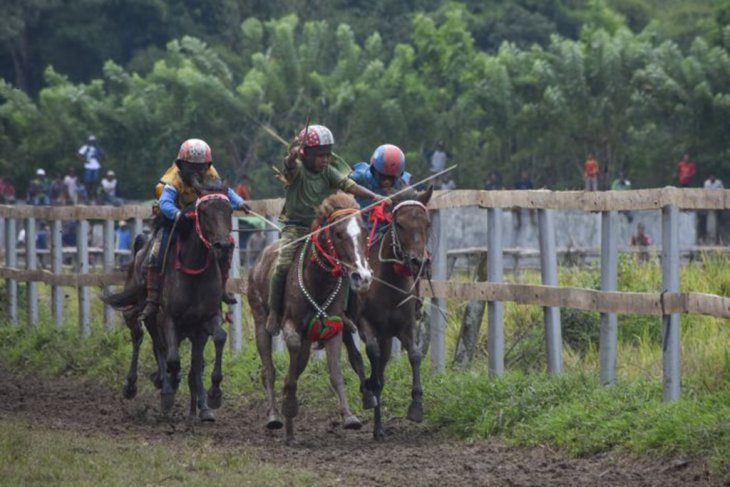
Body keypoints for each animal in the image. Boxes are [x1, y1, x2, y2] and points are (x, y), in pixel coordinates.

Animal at [102, 181, 232, 422]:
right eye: (203, 211)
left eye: (229, 211)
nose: (224, 246)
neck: (195, 270)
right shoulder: (167, 318)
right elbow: (171, 359)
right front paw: (168, 388)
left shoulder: (208, 319)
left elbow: (217, 339)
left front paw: (213, 395)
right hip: (149, 315)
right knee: (149, 342)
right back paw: (143, 385)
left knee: (185, 359)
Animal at [250, 193, 376, 444]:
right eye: (338, 233)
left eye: (365, 231)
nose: (362, 276)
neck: (316, 280)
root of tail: (259, 260)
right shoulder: (291, 326)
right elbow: (291, 354)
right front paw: (288, 404)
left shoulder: (333, 328)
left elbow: (336, 373)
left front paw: (349, 417)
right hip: (260, 321)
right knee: (268, 369)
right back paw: (275, 416)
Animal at [344, 185, 430, 440]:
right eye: (399, 224)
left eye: (428, 223)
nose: (418, 261)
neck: (388, 284)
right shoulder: (366, 325)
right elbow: (371, 356)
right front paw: (370, 389)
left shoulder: (405, 326)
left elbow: (414, 354)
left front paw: (416, 407)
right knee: (356, 357)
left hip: (387, 336)